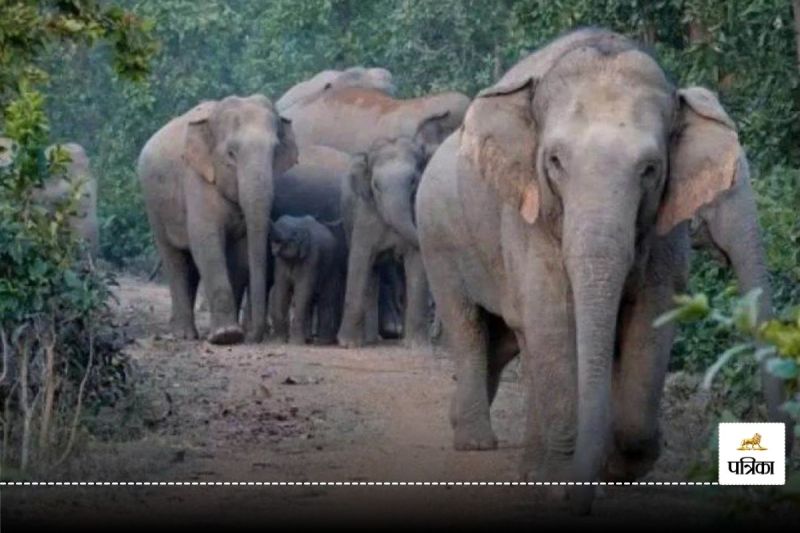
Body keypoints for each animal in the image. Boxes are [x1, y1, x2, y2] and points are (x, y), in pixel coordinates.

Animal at [138, 95, 297, 345]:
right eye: (231, 153)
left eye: (275, 151)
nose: (253, 337)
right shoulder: (196, 178)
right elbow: (207, 242)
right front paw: (226, 336)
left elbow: (239, 254)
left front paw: (232, 334)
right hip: (153, 205)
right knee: (174, 258)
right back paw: (184, 335)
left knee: (191, 267)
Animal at [268, 214, 345, 344]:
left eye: (293, 235)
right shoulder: (279, 262)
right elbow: (281, 289)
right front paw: (279, 341)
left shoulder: (312, 258)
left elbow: (302, 290)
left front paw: (295, 343)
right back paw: (309, 339)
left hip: (333, 266)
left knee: (326, 299)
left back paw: (323, 341)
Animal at [337, 137, 430, 349]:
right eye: (376, 185)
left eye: (414, 181)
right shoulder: (365, 213)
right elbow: (359, 261)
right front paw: (348, 344)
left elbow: (416, 263)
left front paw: (416, 345)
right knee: (371, 273)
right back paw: (369, 339)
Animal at [416, 29, 756, 514]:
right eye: (555, 161)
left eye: (650, 169)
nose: (583, 498)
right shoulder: (528, 211)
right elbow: (553, 315)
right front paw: (562, 485)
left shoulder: (665, 222)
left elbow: (651, 316)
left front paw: (617, 469)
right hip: (437, 236)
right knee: (467, 325)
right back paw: (476, 443)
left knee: (509, 339)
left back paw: (522, 462)